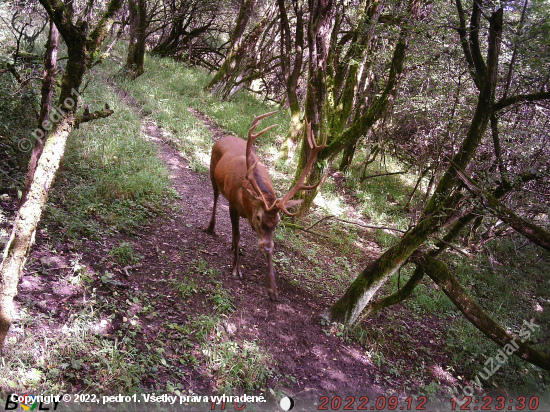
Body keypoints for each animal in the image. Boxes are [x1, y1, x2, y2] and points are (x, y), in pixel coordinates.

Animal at [207, 111, 328, 300]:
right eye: (258, 217)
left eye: (278, 221)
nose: (265, 246)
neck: (246, 200)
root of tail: (222, 139)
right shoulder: (233, 204)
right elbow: (237, 235)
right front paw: (236, 269)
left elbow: (267, 247)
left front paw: (272, 289)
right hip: (212, 172)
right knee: (215, 196)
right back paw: (211, 227)